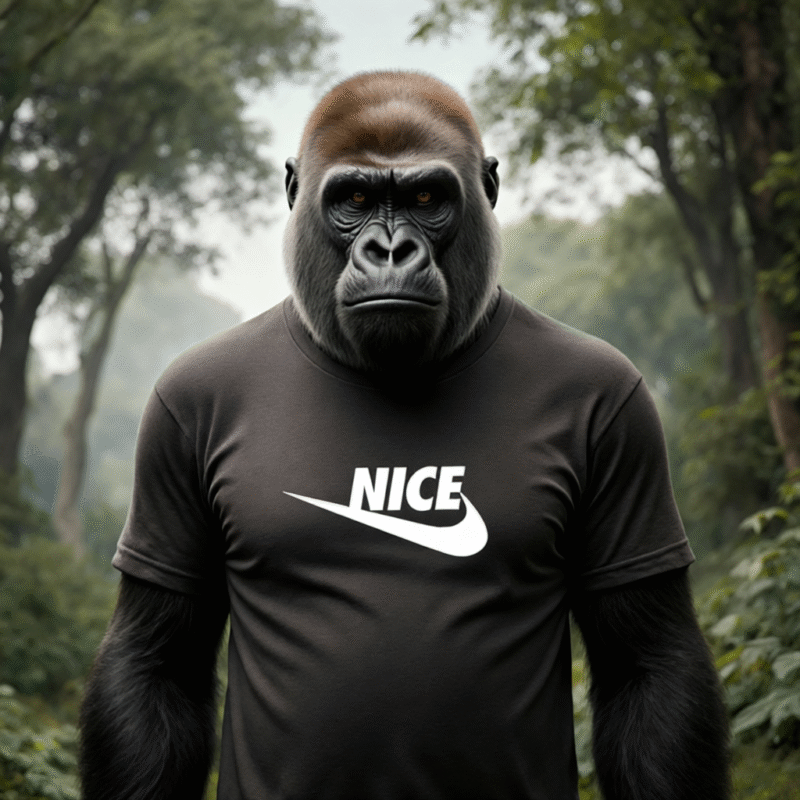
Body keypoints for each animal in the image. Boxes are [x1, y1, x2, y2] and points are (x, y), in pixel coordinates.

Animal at [80, 71, 729, 800]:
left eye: (424, 199)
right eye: (357, 199)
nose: (389, 251)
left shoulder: (621, 402)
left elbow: (645, 662)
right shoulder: (176, 407)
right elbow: (159, 662)